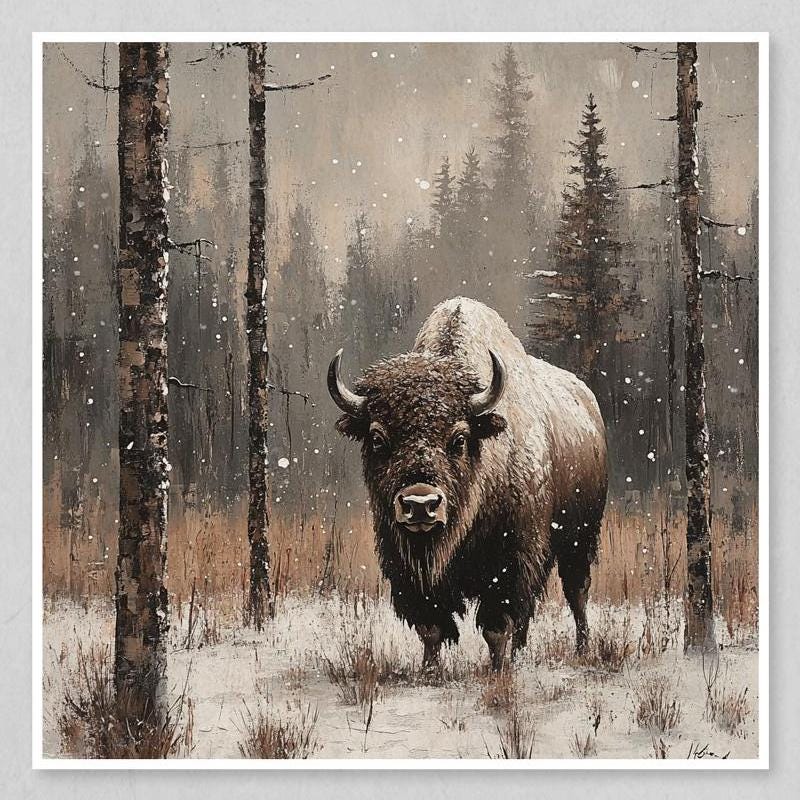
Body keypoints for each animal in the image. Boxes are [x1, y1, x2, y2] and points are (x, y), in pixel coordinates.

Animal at [328, 298, 608, 670]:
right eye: (377, 438)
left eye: (459, 438)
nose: (420, 505)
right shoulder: (408, 570)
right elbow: (431, 627)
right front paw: (430, 670)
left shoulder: (510, 561)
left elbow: (496, 626)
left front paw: (497, 670)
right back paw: (521, 653)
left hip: (579, 538)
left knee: (576, 592)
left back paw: (581, 649)